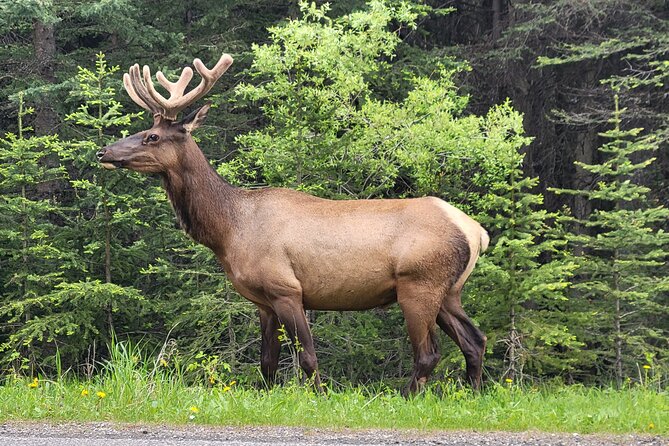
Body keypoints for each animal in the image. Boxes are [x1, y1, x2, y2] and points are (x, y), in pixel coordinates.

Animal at [96, 53, 488, 394]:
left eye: (152, 136)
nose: (103, 152)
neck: (228, 231)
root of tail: (476, 232)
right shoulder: (263, 301)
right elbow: (267, 363)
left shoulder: (286, 288)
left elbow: (308, 358)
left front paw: (321, 397)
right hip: (449, 290)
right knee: (475, 340)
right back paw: (473, 394)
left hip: (418, 284)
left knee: (429, 353)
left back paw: (408, 397)